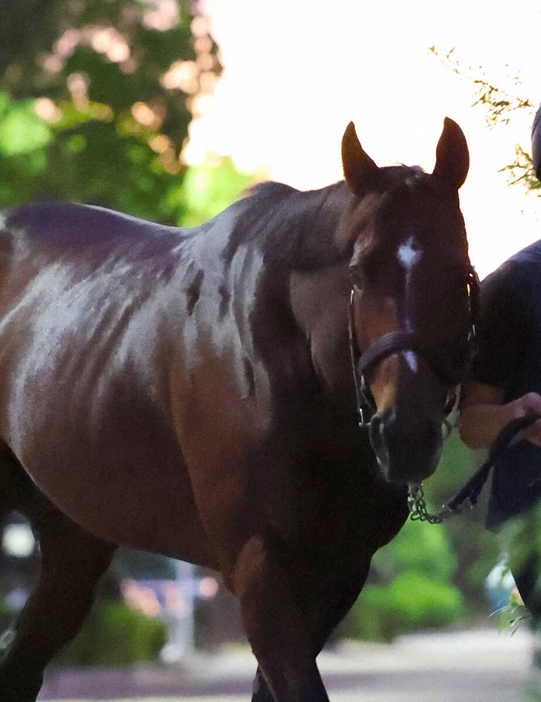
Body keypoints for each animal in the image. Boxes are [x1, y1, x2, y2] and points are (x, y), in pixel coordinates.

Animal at [0, 118, 472, 700]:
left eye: (460, 272)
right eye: (360, 271)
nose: (405, 434)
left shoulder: (338, 571)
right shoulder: (259, 565)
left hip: (73, 538)